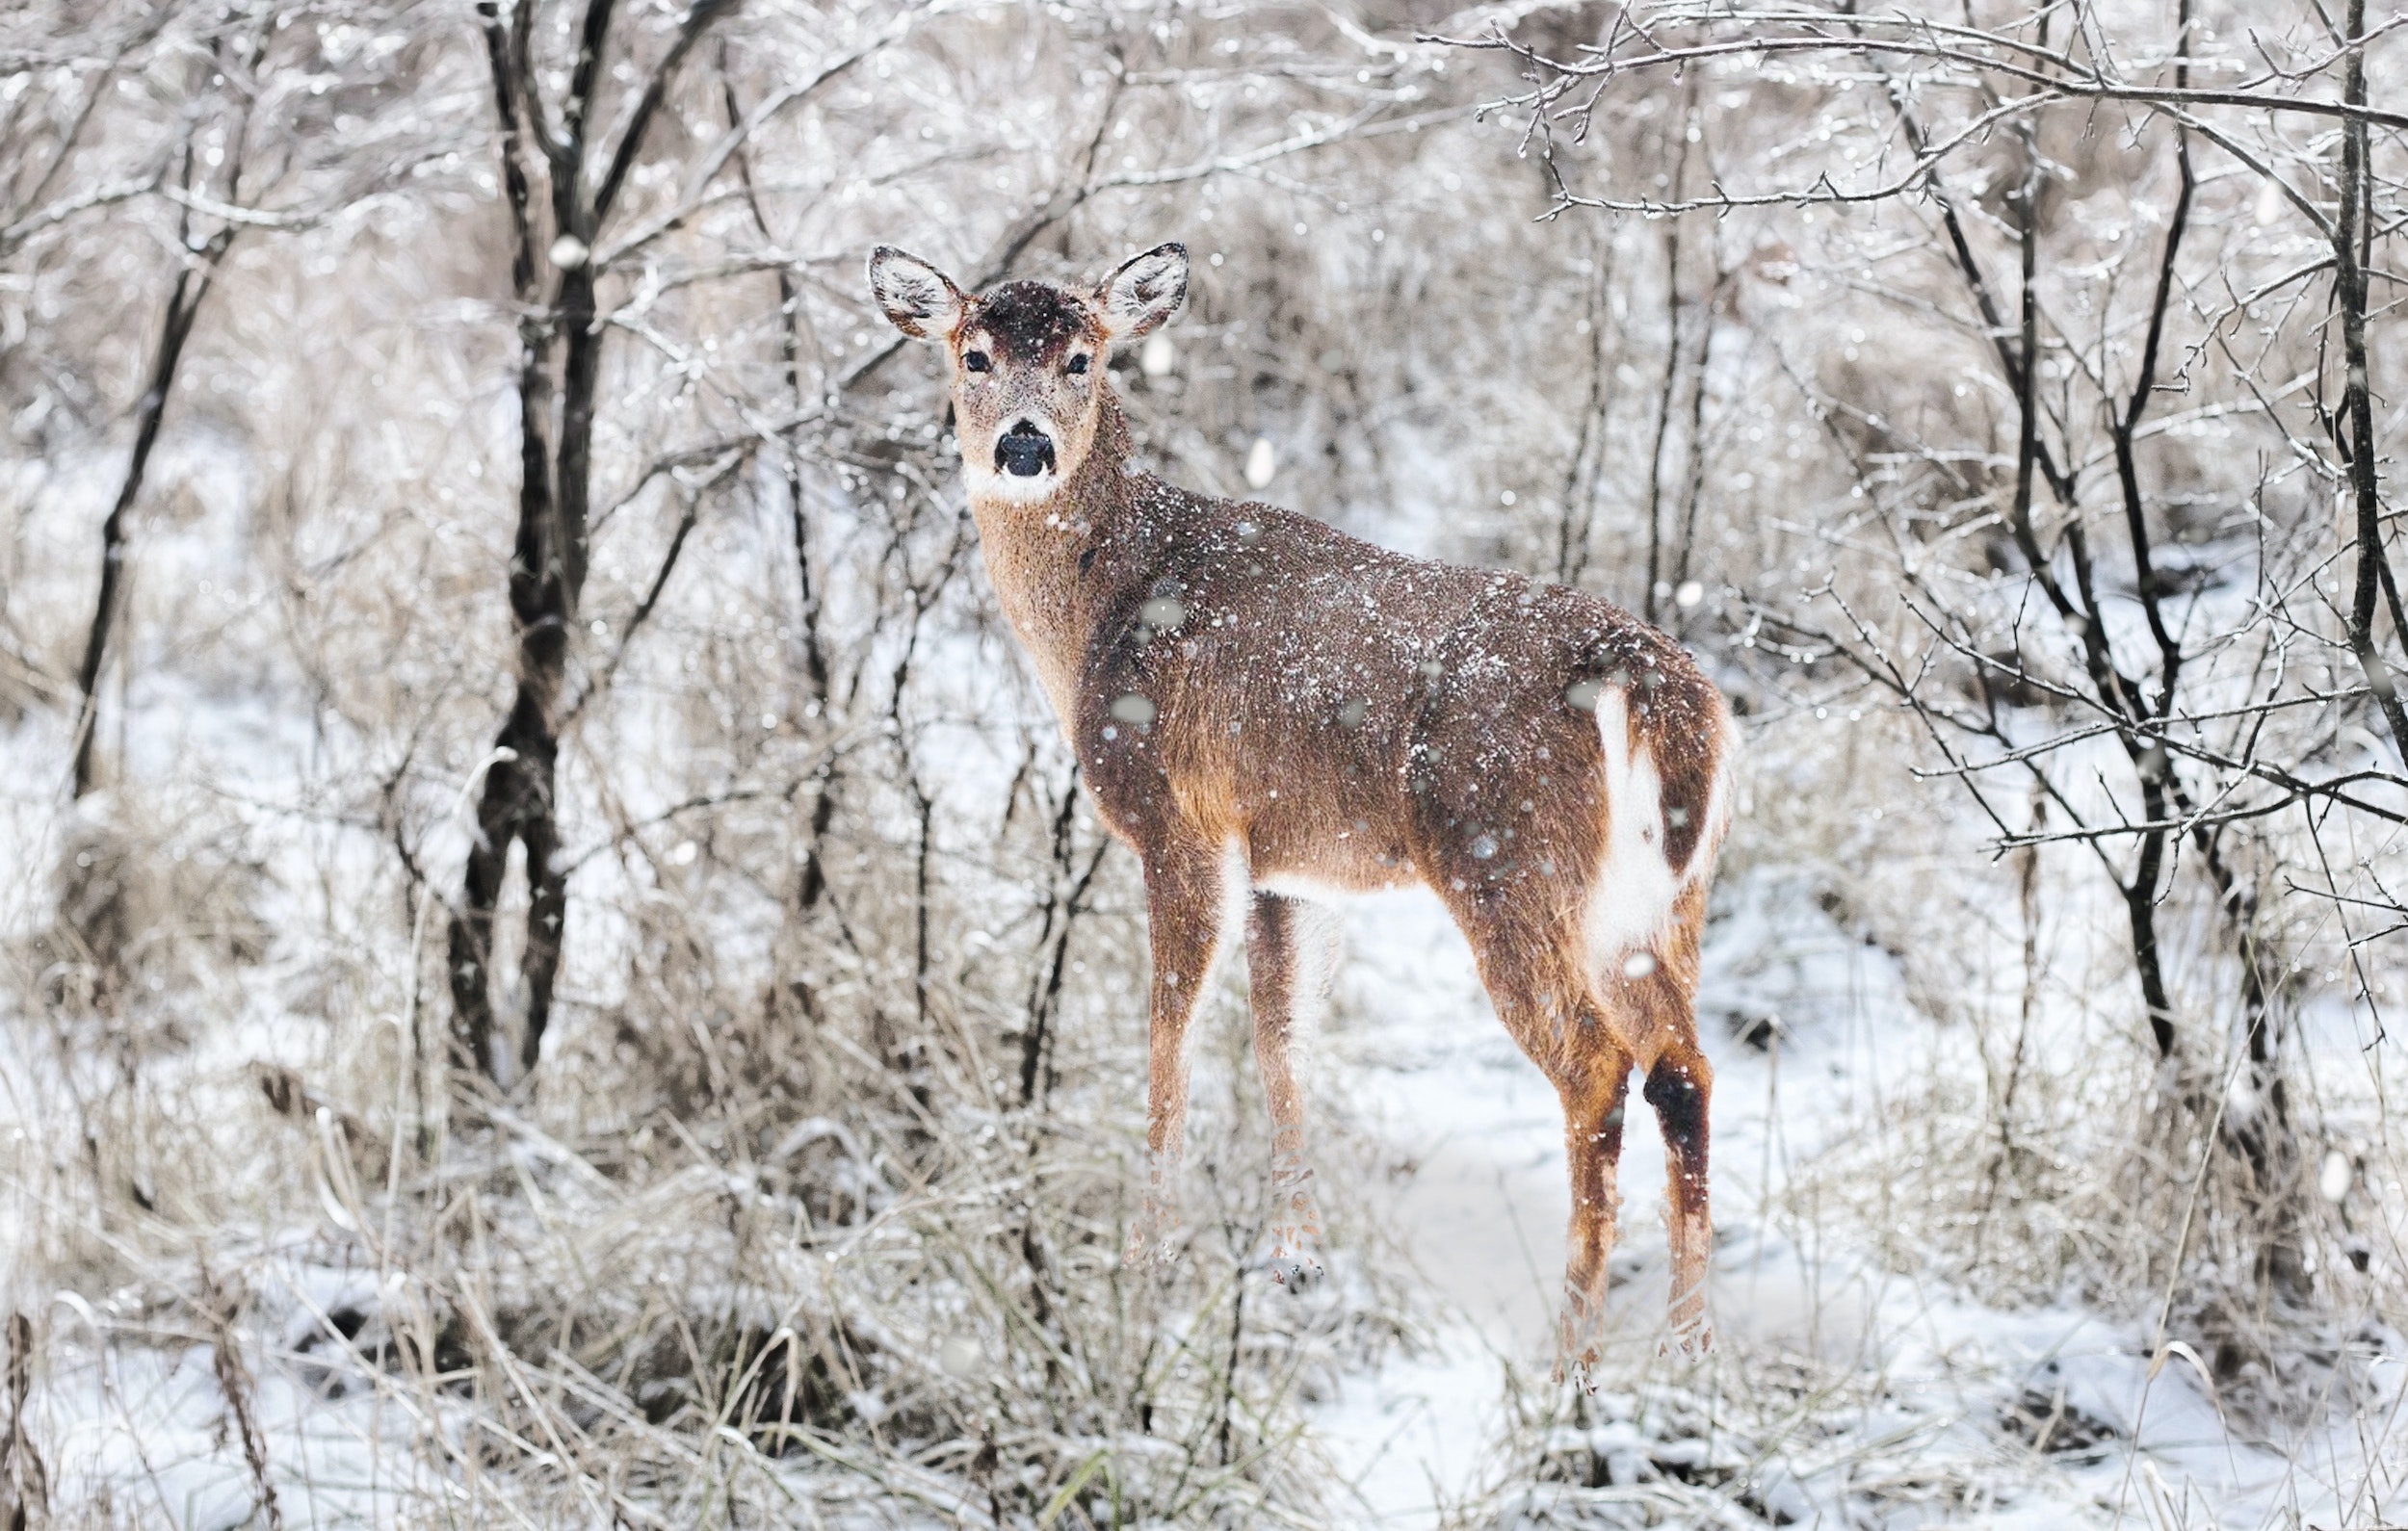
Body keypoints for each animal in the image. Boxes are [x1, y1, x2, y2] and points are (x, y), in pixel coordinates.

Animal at [867, 239, 1734, 1367]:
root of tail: (1651, 688)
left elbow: (1172, 1036)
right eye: (973, 354)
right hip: (1661, 901)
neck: (1101, 605)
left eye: (1081, 357)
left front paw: (1146, 1268)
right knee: (1684, 1065)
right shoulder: (1288, 859)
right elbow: (1282, 1039)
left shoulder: (1178, 820)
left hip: (1507, 862)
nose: (1023, 447)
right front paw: (1295, 1261)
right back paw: (1689, 1353)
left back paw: (1568, 1359)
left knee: (1597, 1067)